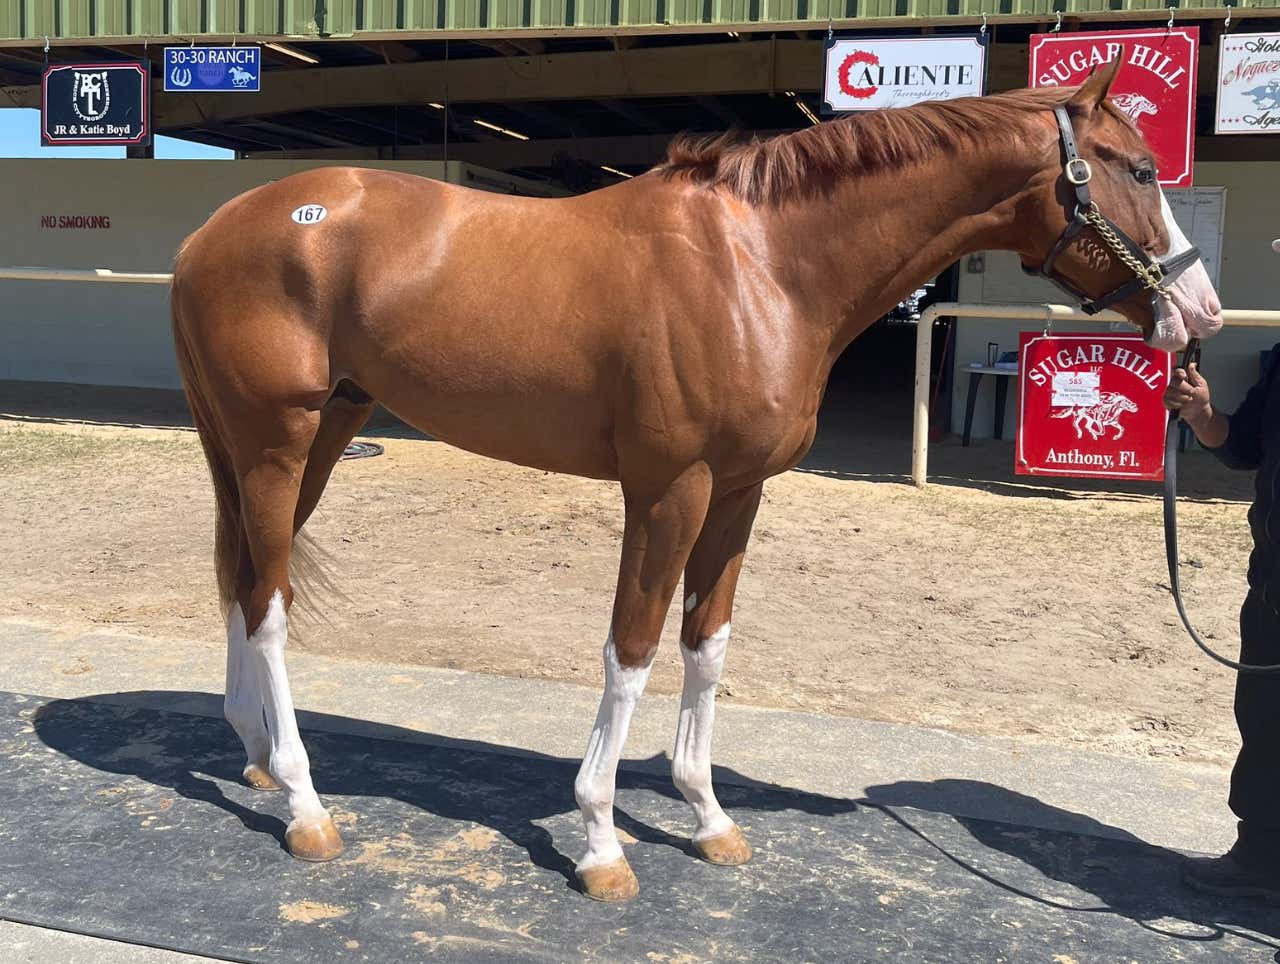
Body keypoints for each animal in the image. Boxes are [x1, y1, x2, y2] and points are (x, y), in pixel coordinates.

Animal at [169, 60, 1222, 901]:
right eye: (1137, 169)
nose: (1201, 311)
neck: (762, 265)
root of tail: (211, 230)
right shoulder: (669, 488)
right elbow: (632, 650)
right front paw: (600, 841)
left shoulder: (741, 491)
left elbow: (705, 647)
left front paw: (708, 817)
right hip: (275, 441)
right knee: (269, 605)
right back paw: (307, 805)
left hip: (318, 433)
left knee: (244, 581)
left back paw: (257, 761)